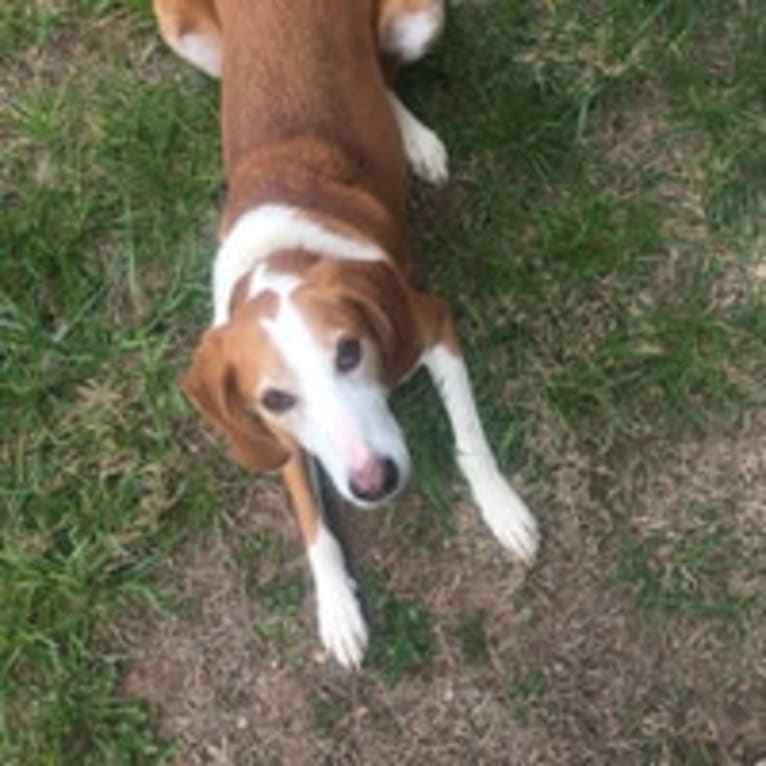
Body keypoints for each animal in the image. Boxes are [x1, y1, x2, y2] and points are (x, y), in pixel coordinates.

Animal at [154, 0, 540, 672]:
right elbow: (313, 523)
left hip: (420, 20)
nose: (374, 483)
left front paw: (502, 509)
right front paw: (336, 608)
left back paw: (416, 141)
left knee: (385, 72)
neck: (280, 257)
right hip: (182, 34)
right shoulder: (270, 432)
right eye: (277, 399)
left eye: (350, 352)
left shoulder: (431, 324)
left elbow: (470, 441)